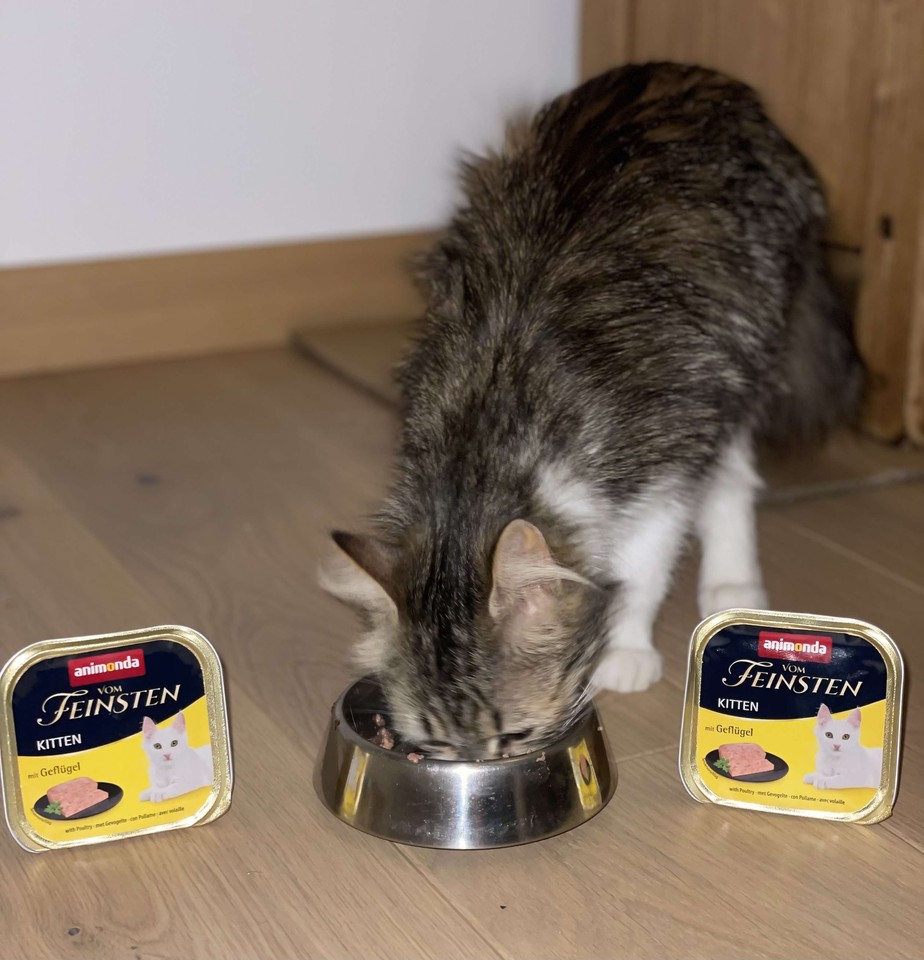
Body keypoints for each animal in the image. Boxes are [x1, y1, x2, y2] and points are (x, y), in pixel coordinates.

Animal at [321, 63, 862, 760]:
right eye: (435, 745)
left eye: (515, 735)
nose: (472, 772)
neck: (487, 446)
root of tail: (700, 76)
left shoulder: (661, 470)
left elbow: (640, 570)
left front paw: (624, 648)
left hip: (738, 357)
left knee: (732, 477)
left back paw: (732, 585)